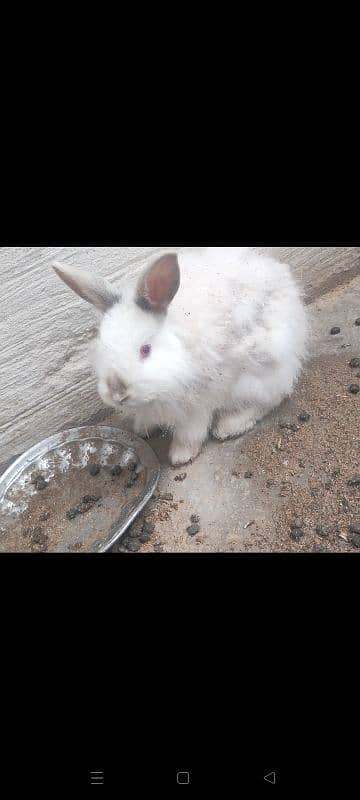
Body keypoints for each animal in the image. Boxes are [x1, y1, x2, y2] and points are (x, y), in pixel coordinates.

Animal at [52, 247, 308, 466]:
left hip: (256, 374)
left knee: (270, 399)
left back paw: (229, 426)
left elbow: (189, 433)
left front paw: (180, 456)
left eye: (145, 349)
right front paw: (143, 429)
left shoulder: (198, 401)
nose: (118, 393)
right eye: (102, 345)